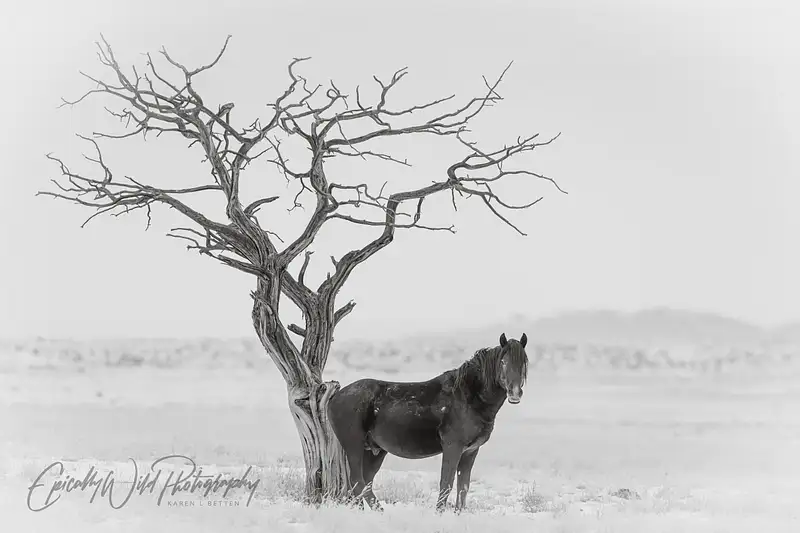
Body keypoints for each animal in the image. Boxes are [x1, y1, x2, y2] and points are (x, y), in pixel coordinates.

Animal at [327, 332, 529, 511]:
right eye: (503, 362)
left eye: (524, 362)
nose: (515, 394)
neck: (468, 397)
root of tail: (336, 396)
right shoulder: (453, 447)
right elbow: (446, 484)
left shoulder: (470, 451)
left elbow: (463, 488)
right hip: (354, 446)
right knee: (357, 482)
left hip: (375, 451)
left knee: (363, 483)